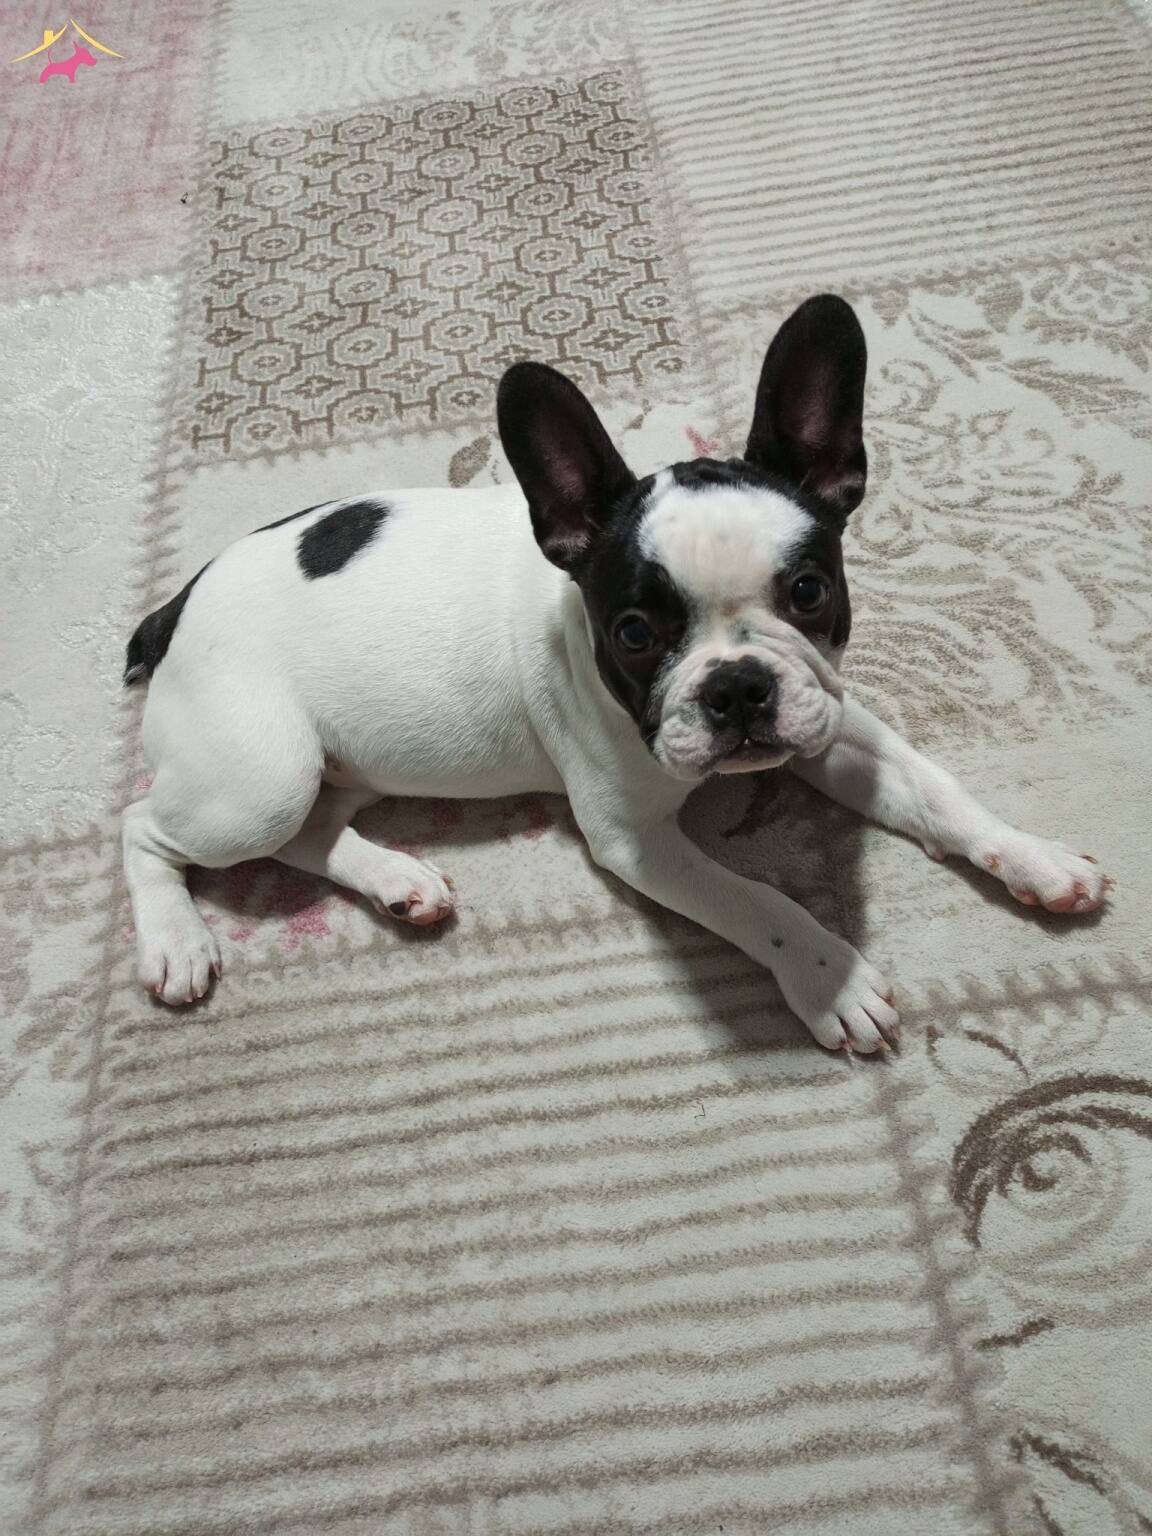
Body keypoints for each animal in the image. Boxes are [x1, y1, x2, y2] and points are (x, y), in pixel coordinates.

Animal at [122, 295, 1111, 1051]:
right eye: (634, 633)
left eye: (809, 591)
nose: (736, 686)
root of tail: (182, 605)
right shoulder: (634, 840)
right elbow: (754, 898)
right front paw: (829, 974)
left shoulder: (829, 719)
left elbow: (937, 791)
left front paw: (1031, 854)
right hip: (259, 775)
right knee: (149, 828)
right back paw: (176, 941)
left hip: (340, 766)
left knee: (310, 832)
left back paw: (397, 880)